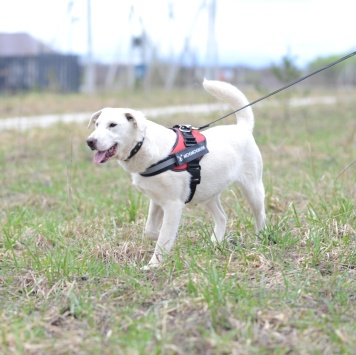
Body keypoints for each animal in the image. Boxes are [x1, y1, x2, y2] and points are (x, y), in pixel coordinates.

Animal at [85, 80, 264, 270]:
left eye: (112, 125)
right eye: (97, 125)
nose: (90, 142)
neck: (144, 145)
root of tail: (241, 128)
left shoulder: (173, 205)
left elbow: (164, 237)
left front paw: (154, 265)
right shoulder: (156, 201)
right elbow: (151, 230)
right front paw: (165, 240)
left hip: (253, 190)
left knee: (260, 216)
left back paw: (261, 239)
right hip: (207, 193)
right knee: (222, 217)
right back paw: (214, 243)